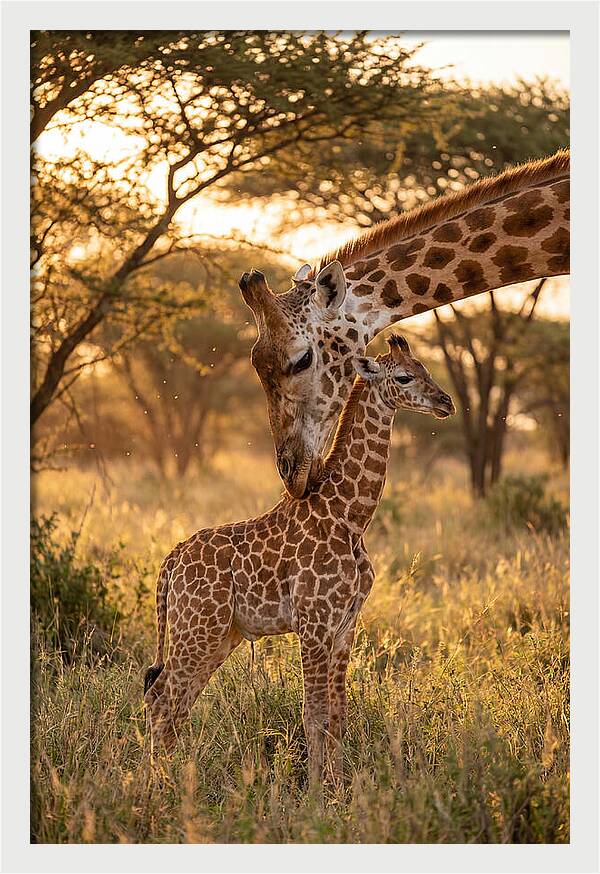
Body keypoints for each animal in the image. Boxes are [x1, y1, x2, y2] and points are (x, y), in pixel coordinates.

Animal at [143, 335, 454, 789]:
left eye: (425, 368)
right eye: (404, 376)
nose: (445, 402)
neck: (349, 515)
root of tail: (171, 561)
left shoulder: (345, 625)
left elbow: (338, 715)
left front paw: (340, 788)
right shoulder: (314, 621)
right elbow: (314, 714)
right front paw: (315, 794)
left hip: (219, 635)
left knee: (175, 700)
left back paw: (172, 779)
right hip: (197, 628)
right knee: (161, 697)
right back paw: (156, 786)